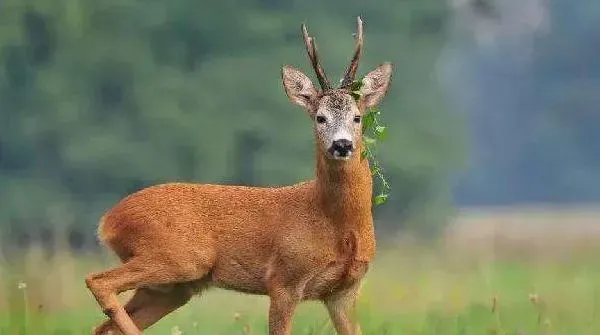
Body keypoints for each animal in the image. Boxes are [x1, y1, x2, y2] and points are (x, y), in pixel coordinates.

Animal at [85, 16, 394, 335]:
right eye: (320, 117)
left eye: (357, 117)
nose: (342, 144)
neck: (336, 224)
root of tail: (108, 221)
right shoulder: (283, 279)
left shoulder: (344, 291)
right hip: (176, 257)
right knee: (98, 281)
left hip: (172, 286)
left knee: (104, 326)